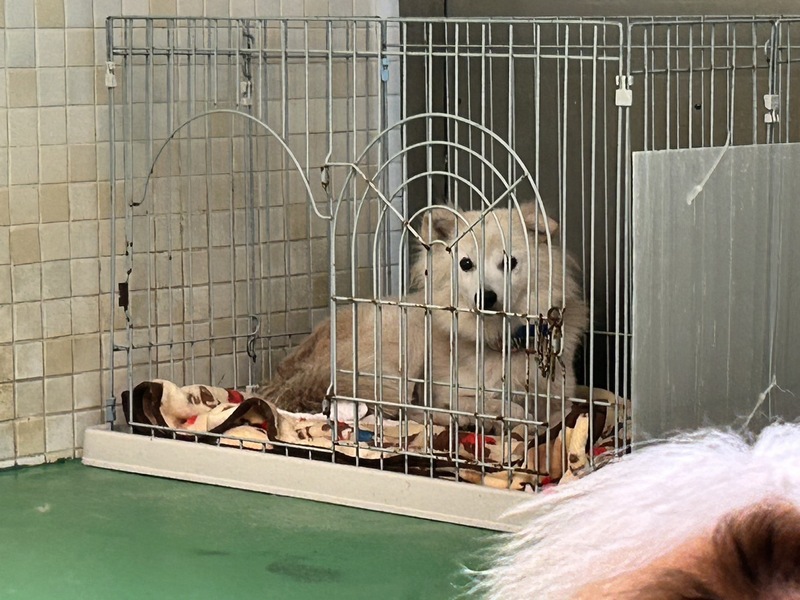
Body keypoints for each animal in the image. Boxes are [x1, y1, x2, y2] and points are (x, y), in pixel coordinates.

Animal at [259, 202, 588, 431]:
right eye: (465, 263)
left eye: (509, 263)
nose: (486, 297)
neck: (500, 339)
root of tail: (286, 376)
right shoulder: (448, 391)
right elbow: (503, 406)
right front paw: (496, 416)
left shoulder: (559, 397)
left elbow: (560, 414)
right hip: (405, 339)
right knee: (405, 411)